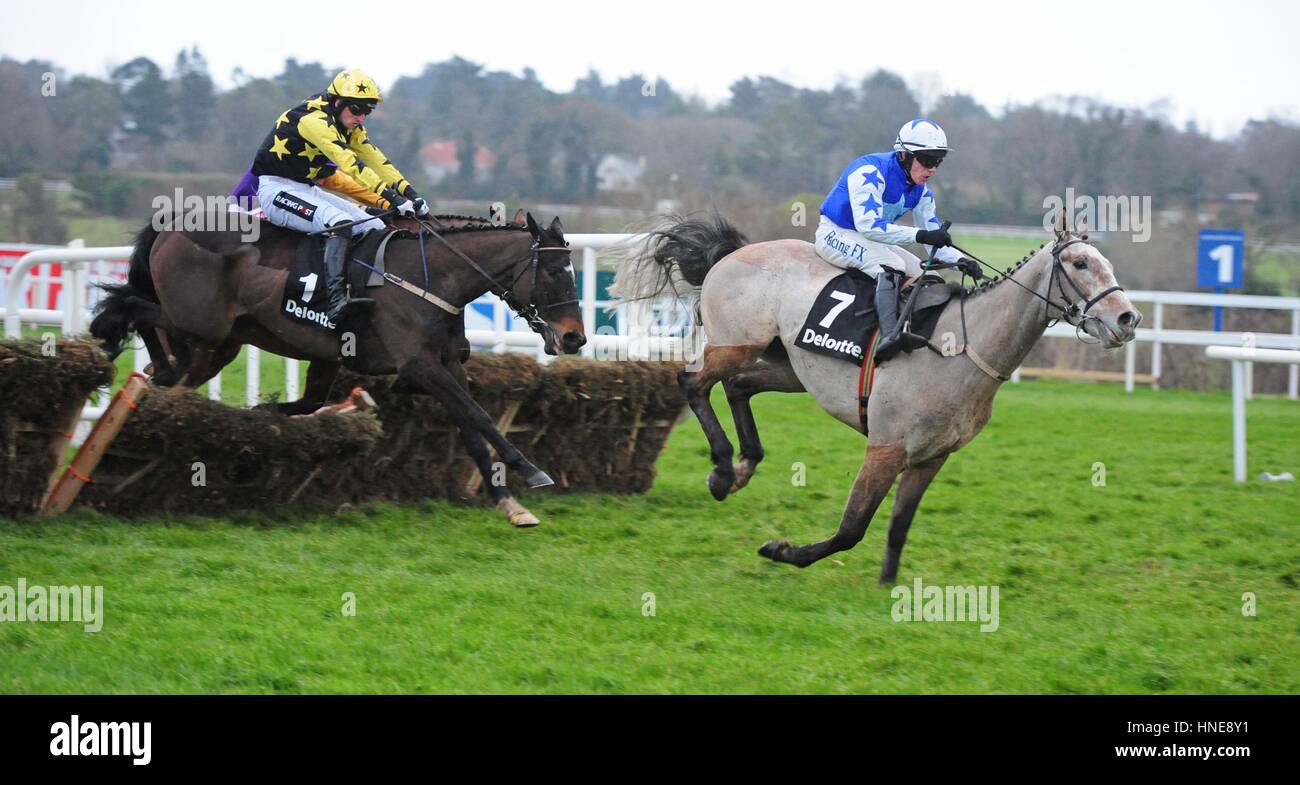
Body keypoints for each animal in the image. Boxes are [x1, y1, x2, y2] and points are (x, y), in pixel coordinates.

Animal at [98, 211, 587, 525]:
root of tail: (169, 228)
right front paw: (531, 470)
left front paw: (507, 499)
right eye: (554, 273)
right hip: (201, 325)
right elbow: (479, 415)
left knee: (178, 366)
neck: (428, 276)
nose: (575, 338)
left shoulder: (444, 365)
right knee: (133, 307)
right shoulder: (420, 364)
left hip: (219, 346)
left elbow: (469, 424)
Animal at [616, 207, 1138, 582]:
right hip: (735, 345)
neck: (960, 347)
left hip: (786, 366)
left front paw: (890, 586)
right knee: (693, 383)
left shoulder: (931, 457)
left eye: (1107, 264)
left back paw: (742, 467)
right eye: (1079, 263)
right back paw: (724, 469)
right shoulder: (886, 448)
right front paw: (782, 551)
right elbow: (852, 528)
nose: (1127, 318)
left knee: (739, 386)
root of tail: (731, 253)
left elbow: (898, 526)